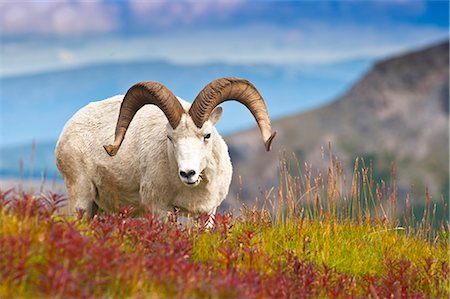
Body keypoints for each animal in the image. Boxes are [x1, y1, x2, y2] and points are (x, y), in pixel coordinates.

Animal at [55, 77, 274, 223]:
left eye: (207, 135)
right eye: (170, 137)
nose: (188, 173)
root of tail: (67, 129)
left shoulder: (207, 214)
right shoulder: (161, 210)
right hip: (81, 198)